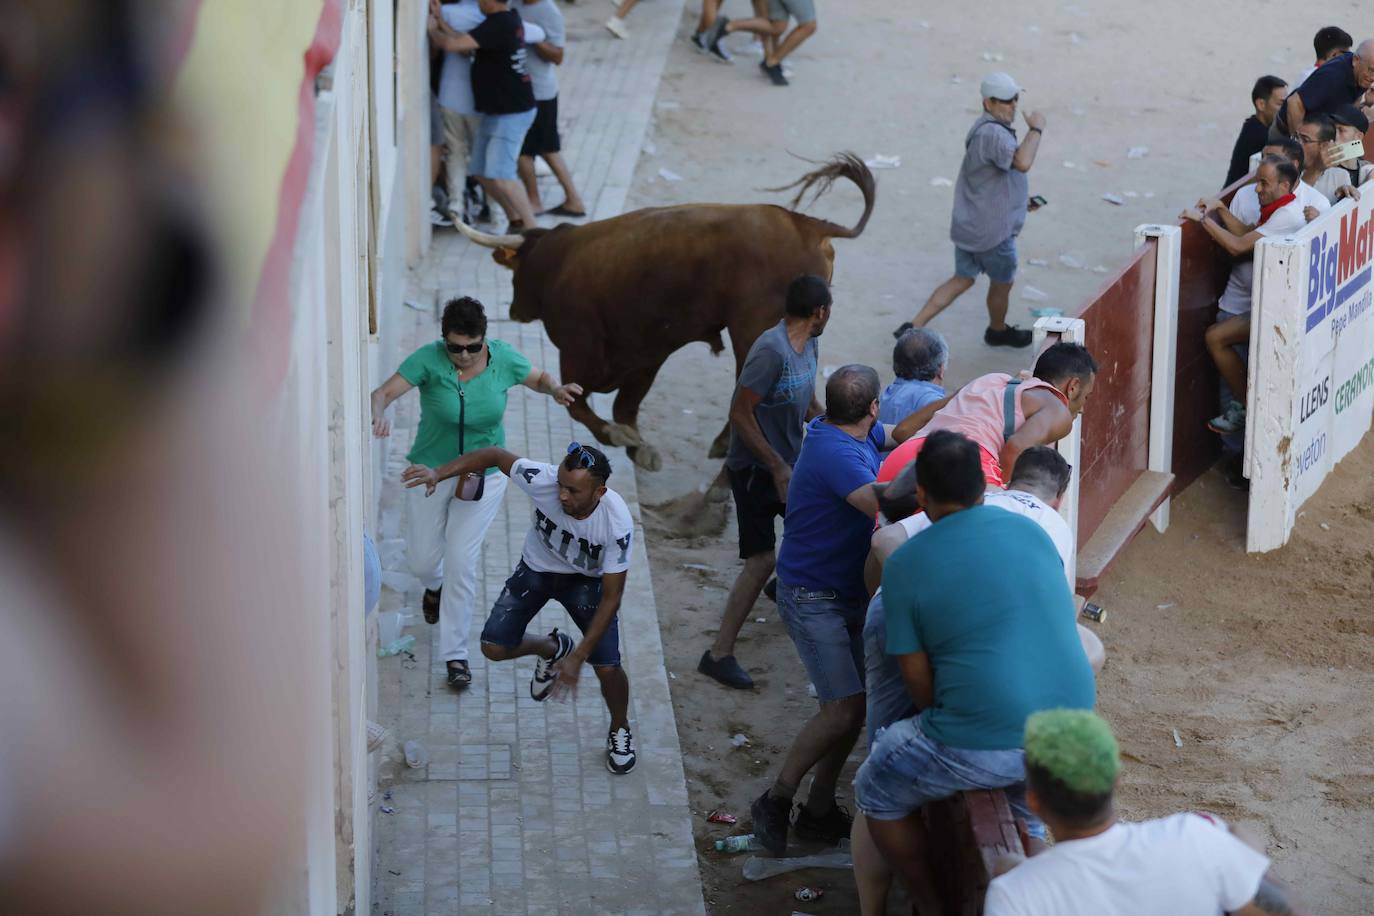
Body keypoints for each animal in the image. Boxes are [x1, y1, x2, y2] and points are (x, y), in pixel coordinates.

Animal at [456, 153, 873, 469]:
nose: (515, 309)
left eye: (517, 270)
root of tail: (808, 224)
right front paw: (638, 447)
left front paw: (619, 437)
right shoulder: (646, 353)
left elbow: (580, 406)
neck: (558, 260)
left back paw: (724, 445)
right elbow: (624, 406)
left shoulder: (579, 348)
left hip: (751, 330)